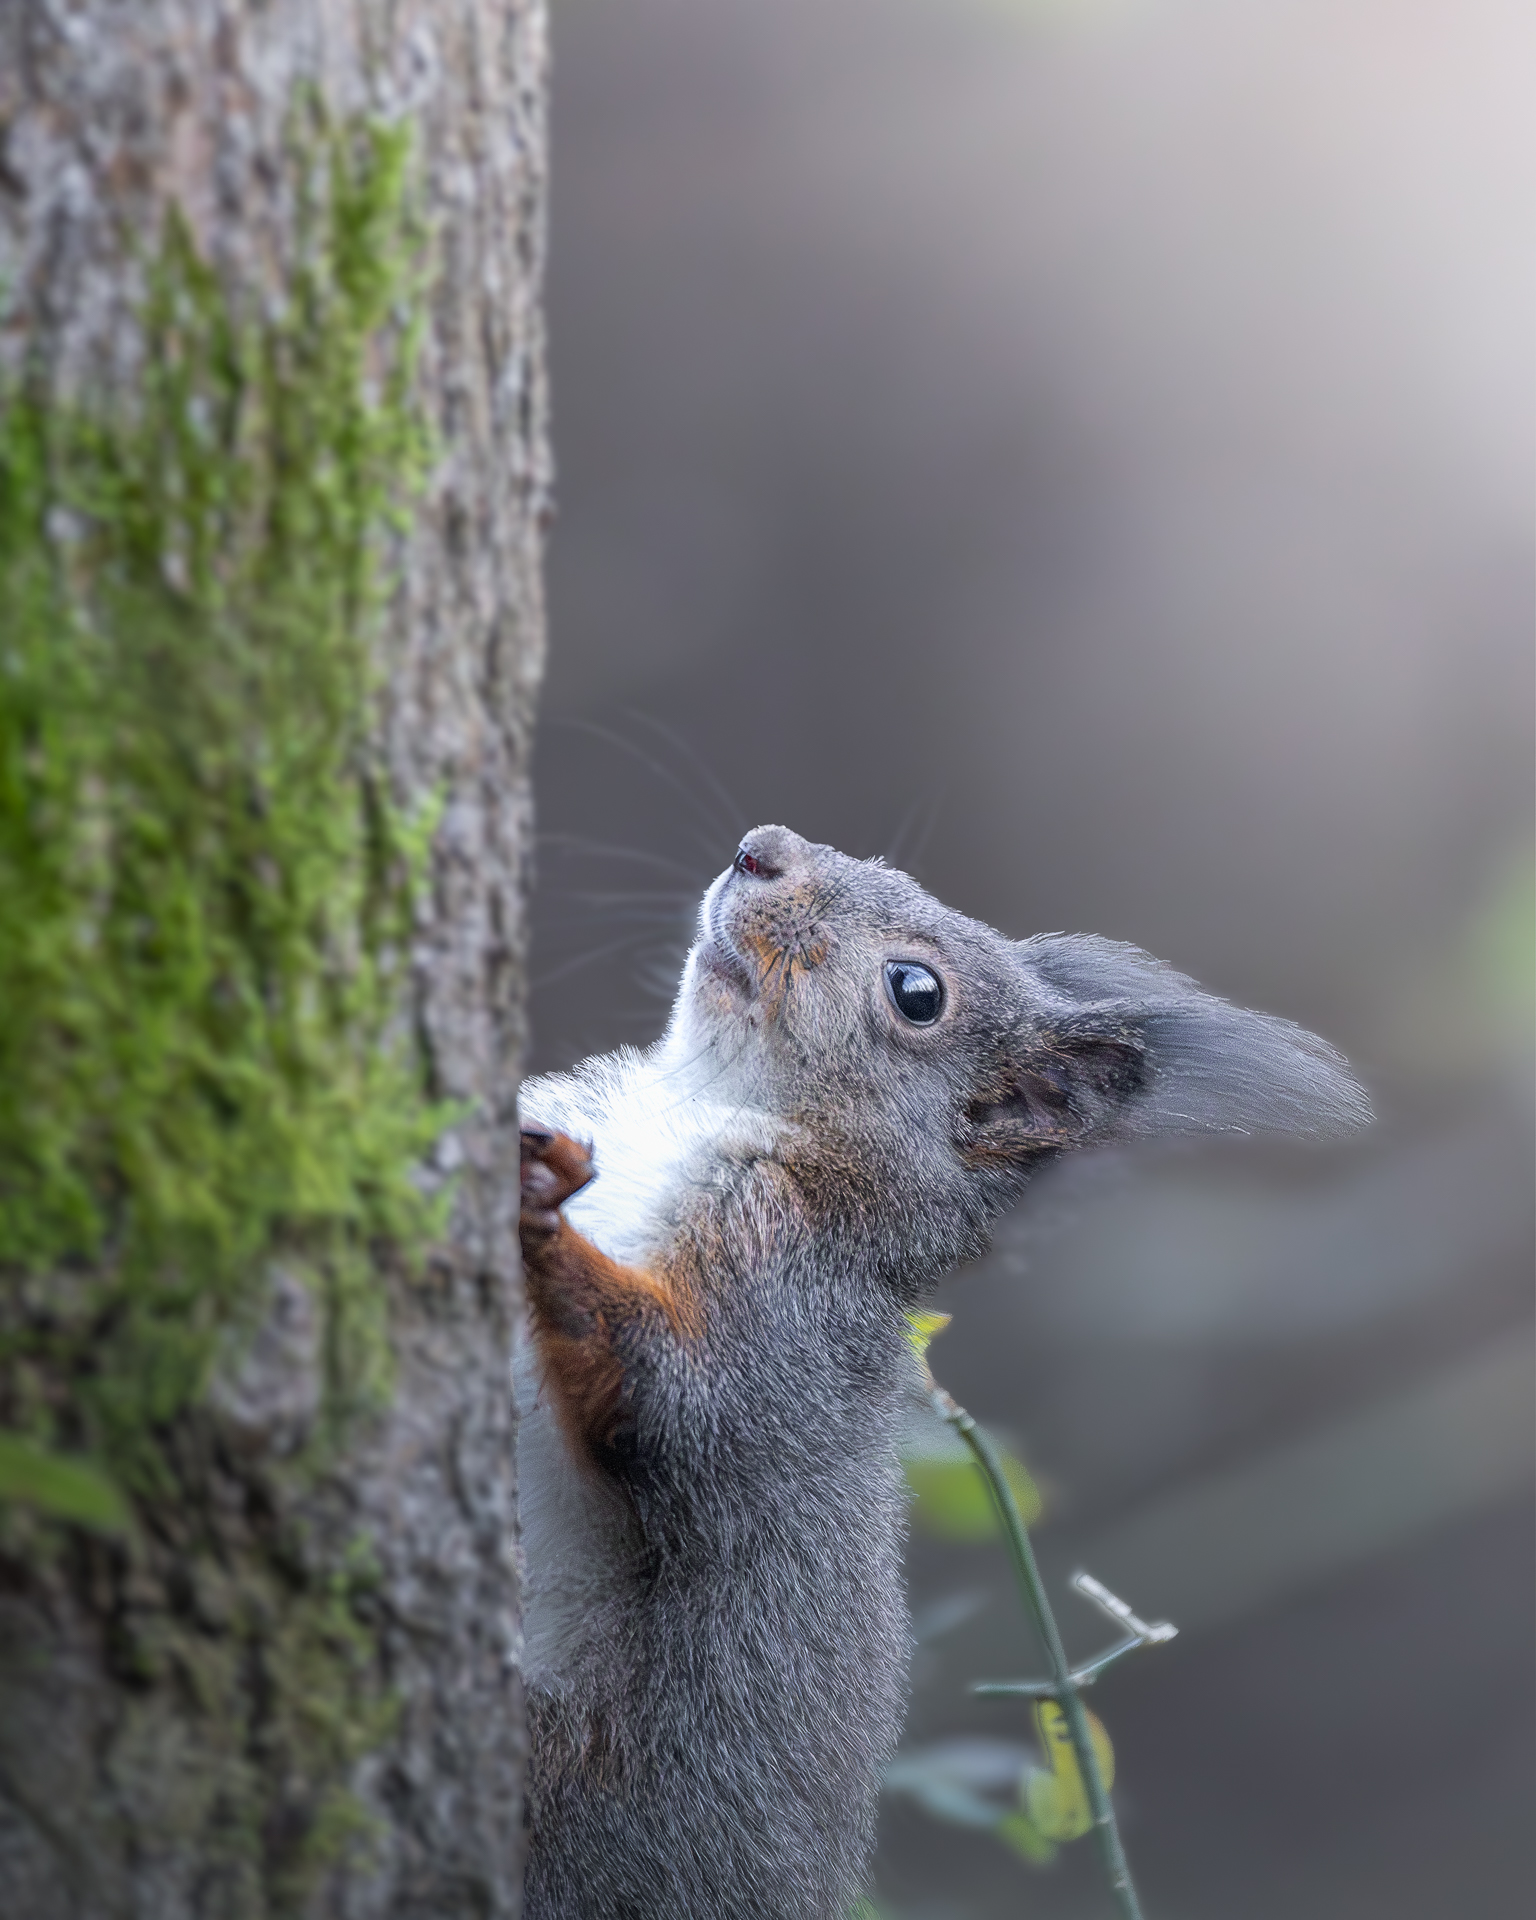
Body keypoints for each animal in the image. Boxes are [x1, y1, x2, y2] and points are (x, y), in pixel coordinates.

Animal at [516, 824, 1369, 1919]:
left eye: (916, 993)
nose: (761, 849)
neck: (703, 1106)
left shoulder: (786, 1295)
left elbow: (673, 1398)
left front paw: (540, 1214)